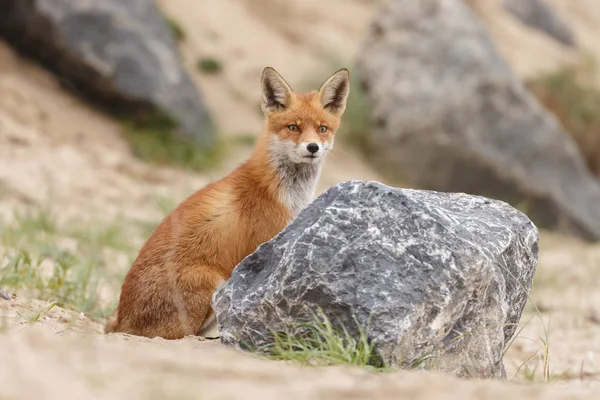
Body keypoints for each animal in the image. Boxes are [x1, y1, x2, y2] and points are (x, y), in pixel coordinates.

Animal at [104, 67, 352, 340]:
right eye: (293, 127)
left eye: (322, 128)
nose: (313, 147)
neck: (287, 193)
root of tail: (121, 317)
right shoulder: (265, 245)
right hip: (209, 281)